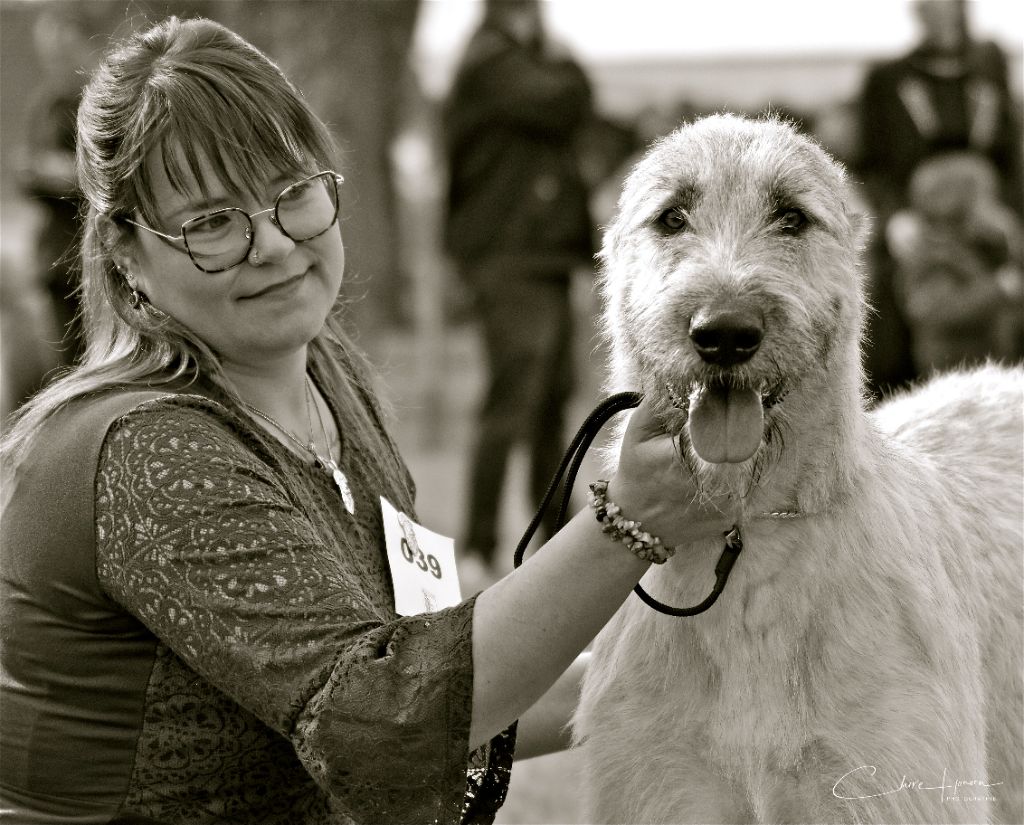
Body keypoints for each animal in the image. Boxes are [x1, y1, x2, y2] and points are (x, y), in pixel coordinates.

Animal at [573, 114, 1023, 825]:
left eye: (791, 215)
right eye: (671, 216)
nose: (725, 333)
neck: (752, 538)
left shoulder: (887, 783)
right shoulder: (658, 784)